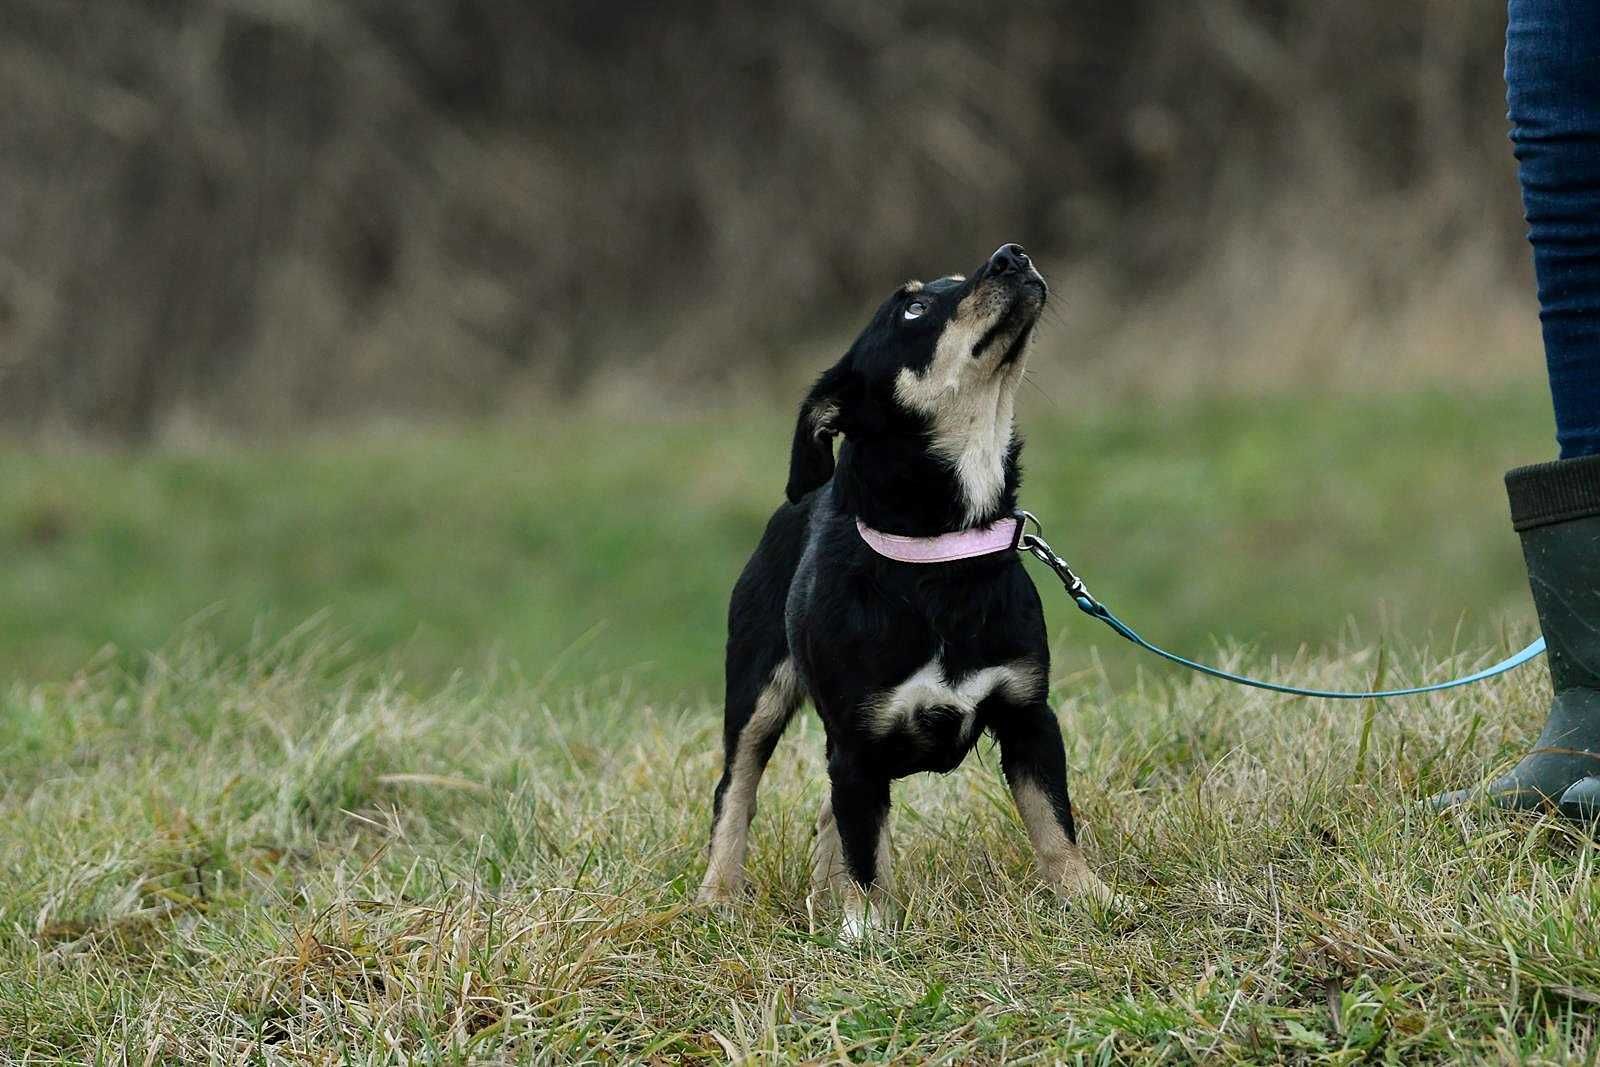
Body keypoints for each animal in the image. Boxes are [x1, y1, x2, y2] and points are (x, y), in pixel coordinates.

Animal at [700, 244, 1113, 934]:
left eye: (958, 279)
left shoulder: (1029, 715)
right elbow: (866, 850)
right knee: (737, 787)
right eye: (914, 309)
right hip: (757, 686)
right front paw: (869, 927)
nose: (1012, 255)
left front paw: (1088, 897)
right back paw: (718, 893)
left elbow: (1052, 819)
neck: (939, 553)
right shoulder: (857, 744)